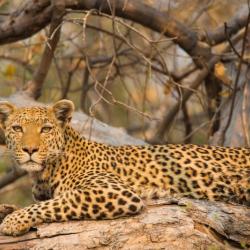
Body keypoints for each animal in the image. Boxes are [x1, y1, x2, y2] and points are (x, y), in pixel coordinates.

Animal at [0, 98, 249, 235]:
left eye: (46, 129)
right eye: (17, 129)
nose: (30, 149)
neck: (44, 174)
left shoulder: (112, 191)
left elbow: (53, 203)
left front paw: (13, 221)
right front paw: (7, 210)